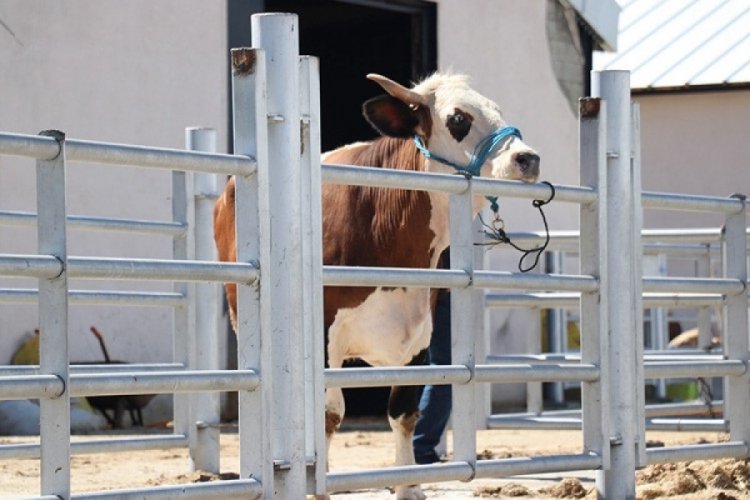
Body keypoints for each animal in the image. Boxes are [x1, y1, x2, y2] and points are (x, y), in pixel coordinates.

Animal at [214, 72, 544, 498]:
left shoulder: (419, 337)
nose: (527, 158)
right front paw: (318, 489)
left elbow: (404, 413)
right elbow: (329, 415)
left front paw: (407, 486)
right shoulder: (323, 333)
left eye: (497, 110)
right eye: (458, 118)